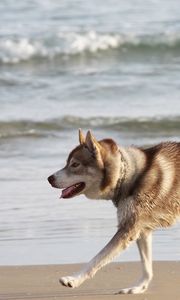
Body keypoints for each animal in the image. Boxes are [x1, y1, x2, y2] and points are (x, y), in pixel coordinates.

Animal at [47, 130, 180, 294]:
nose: (49, 178)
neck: (127, 174)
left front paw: (74, 279)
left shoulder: (127, 229)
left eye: (75, 164)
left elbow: (97, 259)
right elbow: (147, 266)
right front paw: (139, 288)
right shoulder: (142, 230)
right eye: (67, 163)